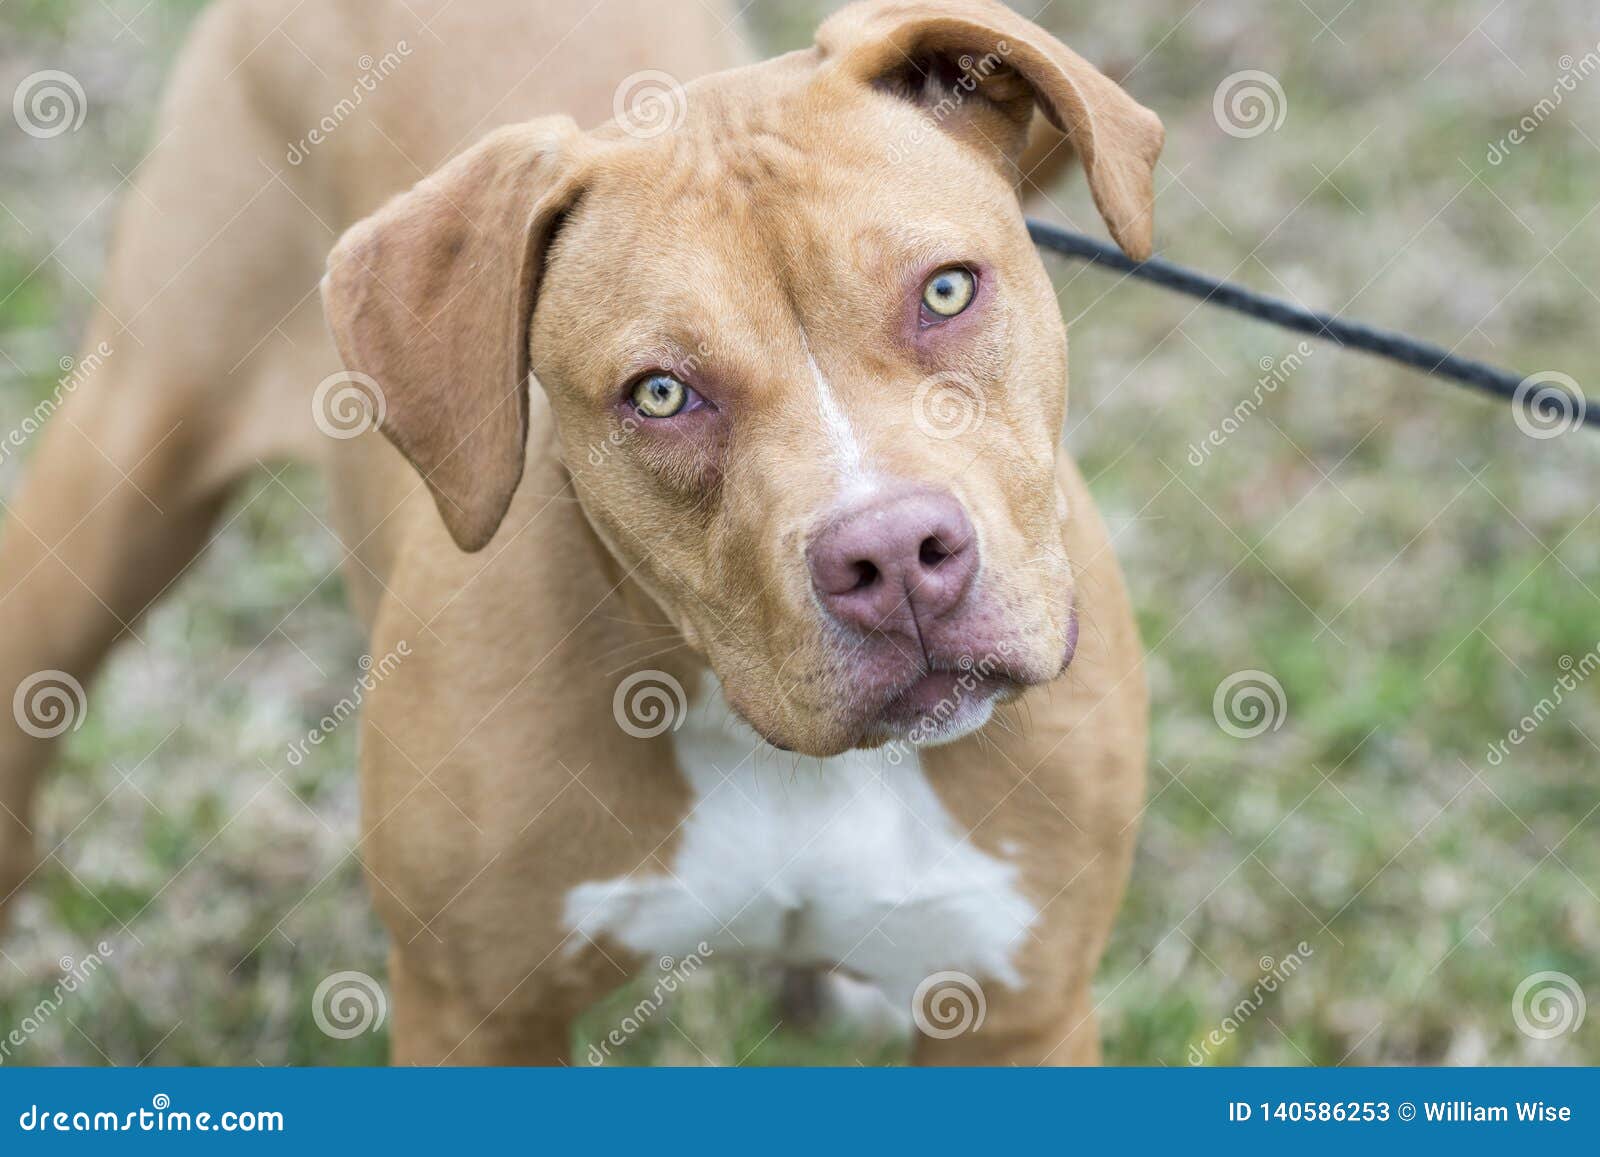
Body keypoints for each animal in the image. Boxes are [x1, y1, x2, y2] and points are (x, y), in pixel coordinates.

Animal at [0, 0, 1152, 1068]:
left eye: (946, 289)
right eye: (660, 393)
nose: (895, 557)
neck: (762, 736)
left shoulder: (1021, 1013)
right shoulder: (473, 1015)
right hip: (122, 466)